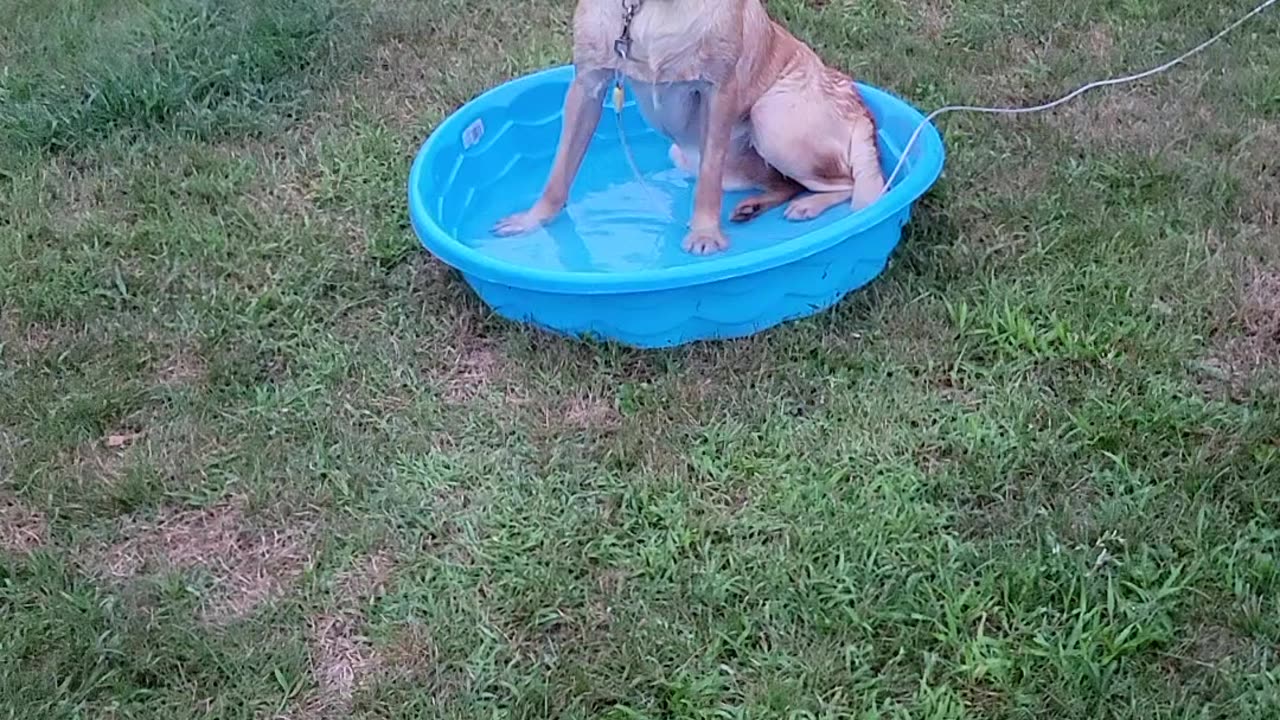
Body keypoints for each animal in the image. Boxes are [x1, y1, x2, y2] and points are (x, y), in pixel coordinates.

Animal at [494, 0, 885, 253]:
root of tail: (857, 104)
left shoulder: (718, 92)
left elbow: (707, 183)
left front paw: (705, 234)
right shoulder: (586, 87)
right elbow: (559, 173)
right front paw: (534, 219)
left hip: (770, 119)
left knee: (848, 183)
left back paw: (809, 206)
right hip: (700, 157)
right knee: (786, 183)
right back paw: (753, 207)